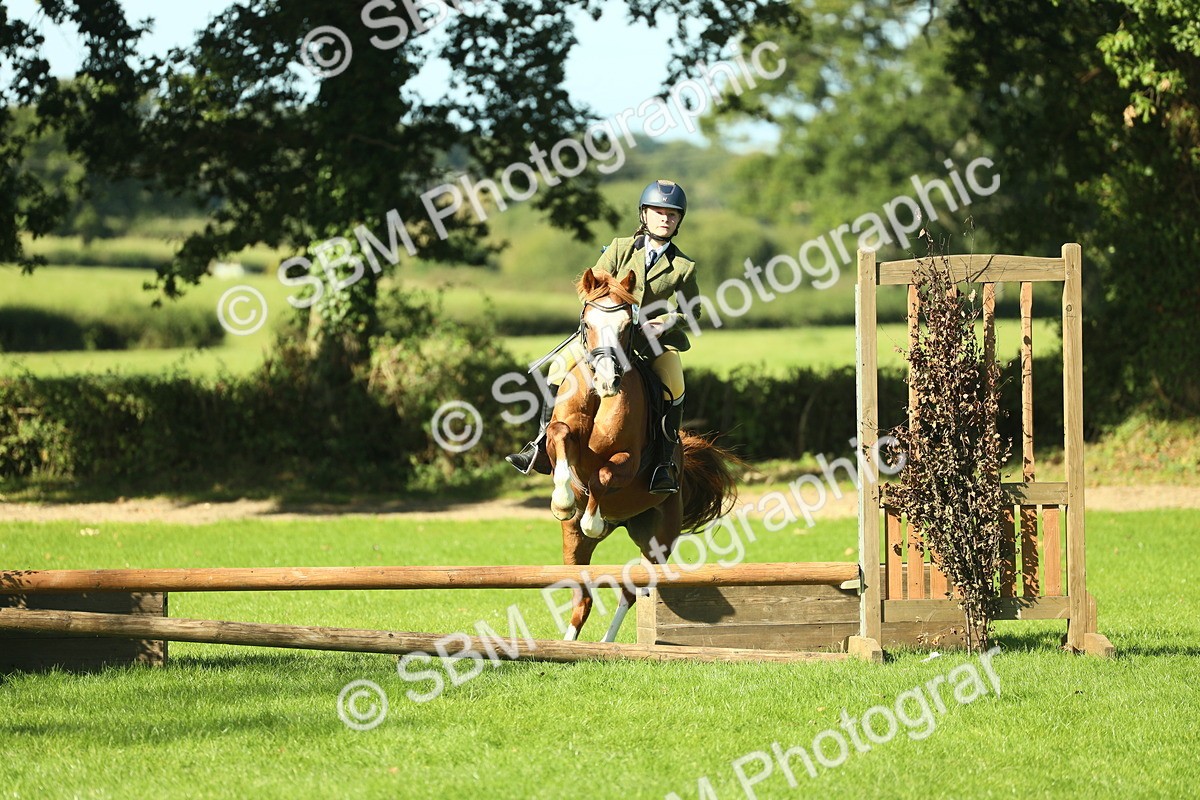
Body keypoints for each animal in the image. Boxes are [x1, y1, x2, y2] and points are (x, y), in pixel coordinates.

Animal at [544, 267, 742, 642]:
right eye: (587, 323)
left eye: (627, 326)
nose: (608, 382)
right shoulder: (561, 438)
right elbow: (560, 436)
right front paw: (563, 501)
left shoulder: (628, 461)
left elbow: (603, 476)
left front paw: (593, 519)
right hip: (572, 542)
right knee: (583, 595)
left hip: (657, 538)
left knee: (632, 591)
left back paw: (608, 643)